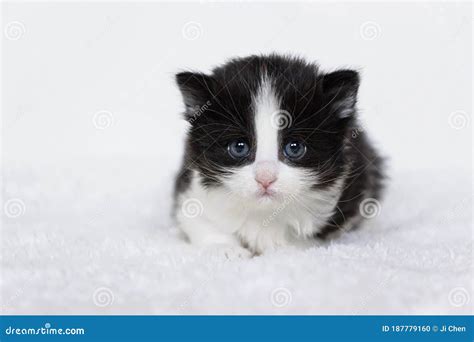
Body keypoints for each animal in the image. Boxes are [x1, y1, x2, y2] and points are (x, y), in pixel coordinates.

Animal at [172, 54, 384, 256]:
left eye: (294, 148)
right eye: (239, 147)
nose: (265, 178)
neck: (264, 214)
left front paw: (288, 249)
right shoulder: (189, 189)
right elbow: (201, 222)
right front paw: (225, 248)